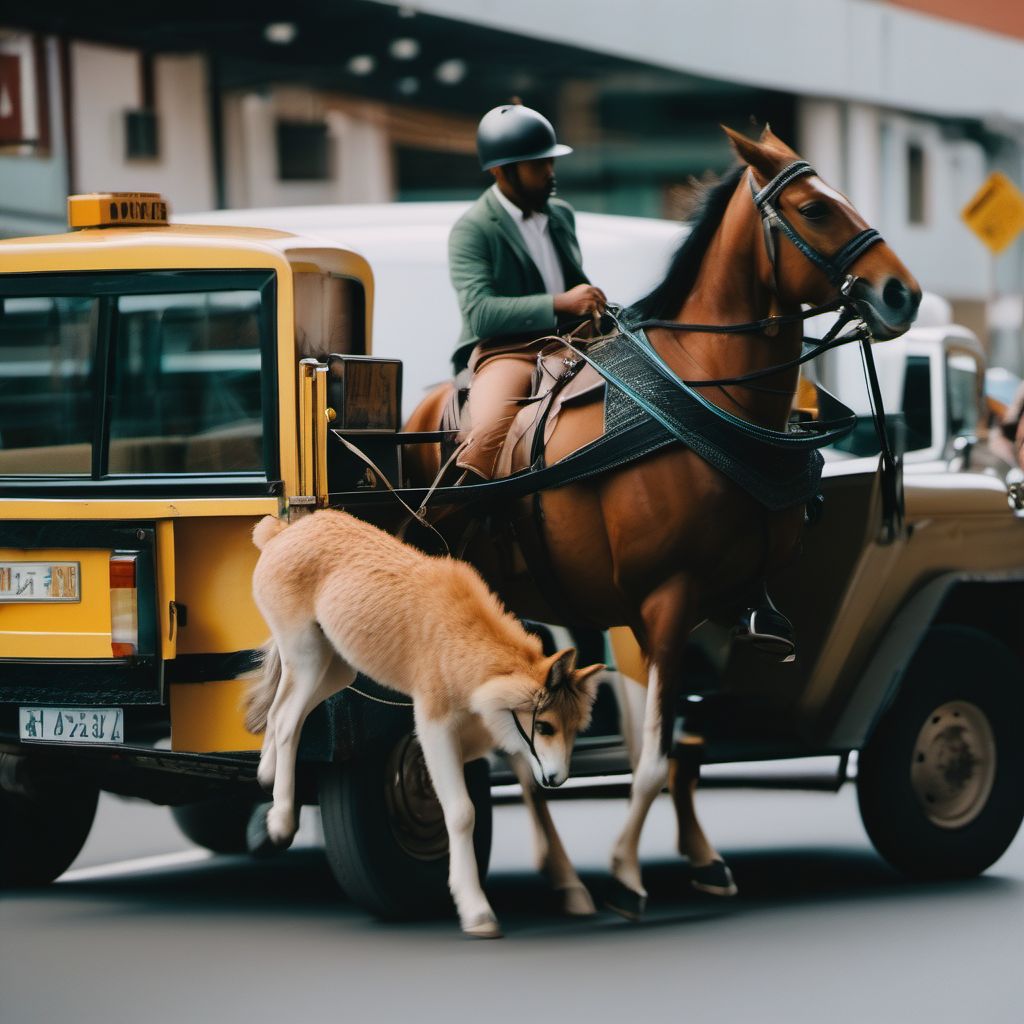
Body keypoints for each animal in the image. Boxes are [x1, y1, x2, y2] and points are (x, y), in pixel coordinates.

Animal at [403, 123, 925, 917]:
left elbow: (684, 750)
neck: (705, 394)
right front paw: (624, 870)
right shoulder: (664, 604)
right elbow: (650, 756)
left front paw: (702, 859)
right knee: (513, 749)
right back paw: (568, 875)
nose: (903, 293)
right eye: (814, 208)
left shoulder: (710, 614)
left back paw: (564, 876)